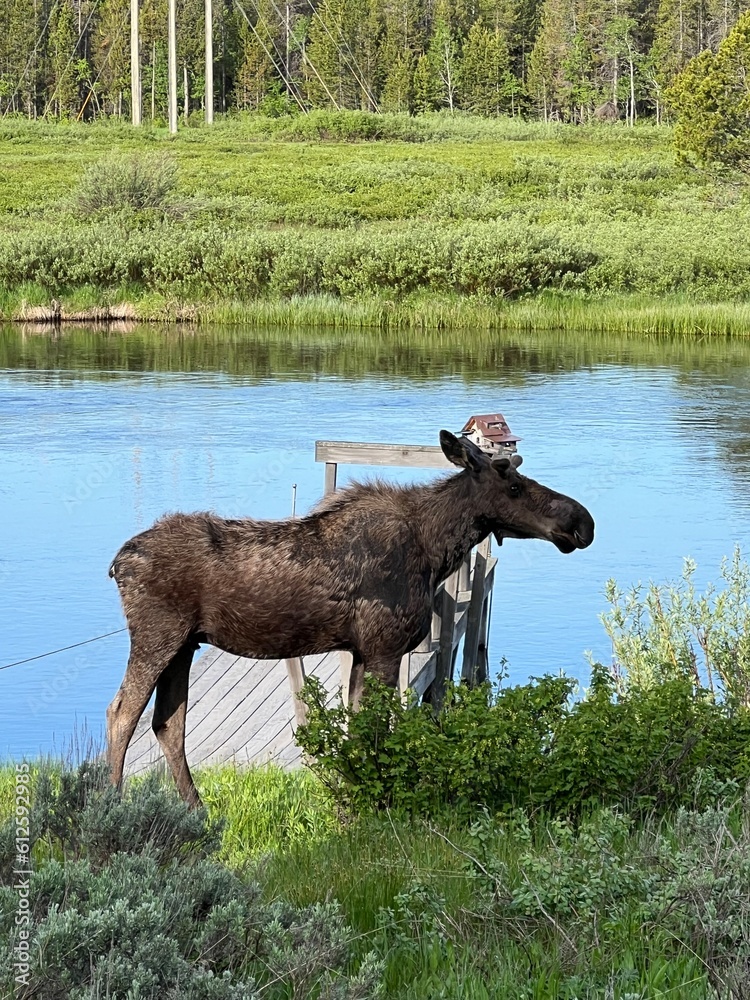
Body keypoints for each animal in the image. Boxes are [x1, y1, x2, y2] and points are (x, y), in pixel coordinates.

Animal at [107, 430, 595, 807]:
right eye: (512, 486)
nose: (582, 522)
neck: (435, 552)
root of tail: (118, 563)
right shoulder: (385, 647)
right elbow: (376, 733)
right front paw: (377, 802)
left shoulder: (362, 651)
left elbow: (359, 733)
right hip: (157, 636)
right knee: (121, 713)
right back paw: (112, 802)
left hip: (185, 645)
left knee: (167, 724)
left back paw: (198, 810)